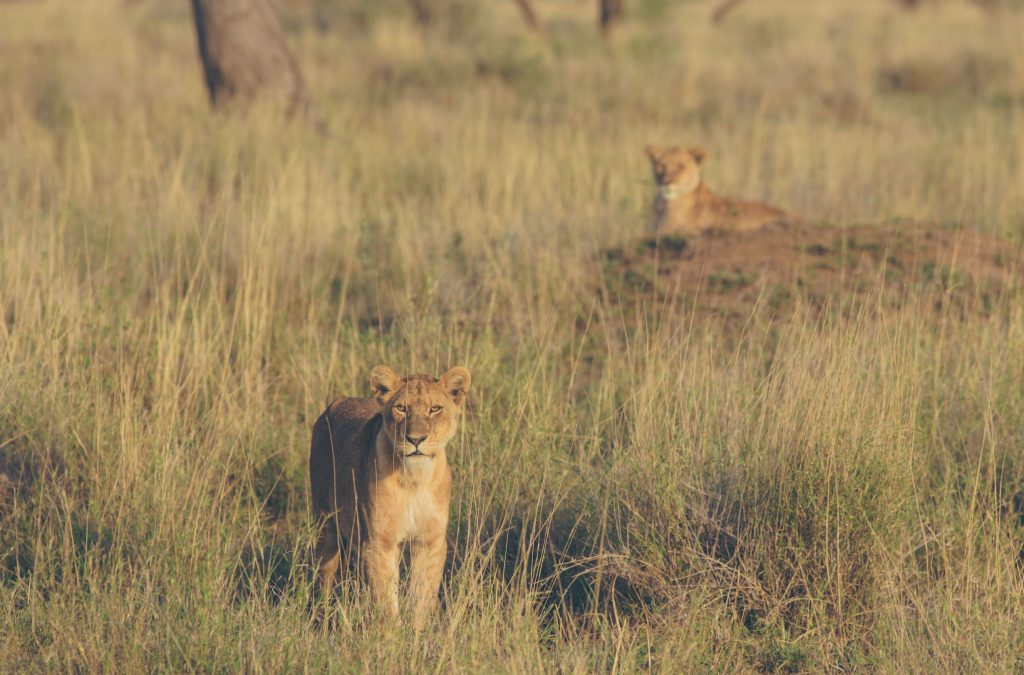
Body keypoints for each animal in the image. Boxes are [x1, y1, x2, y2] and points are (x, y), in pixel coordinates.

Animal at [309, 365, 471, 626]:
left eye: (435, 409)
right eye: (401, 408)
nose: (416, 439)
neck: (414, 480)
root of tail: (337, 402)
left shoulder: (430, 541)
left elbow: (422, 598)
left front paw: (417, 633)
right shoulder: (380, 542)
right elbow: (386, 604)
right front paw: (390, 636)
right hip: (326, 525)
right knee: (324, 576)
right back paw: (321, 621)